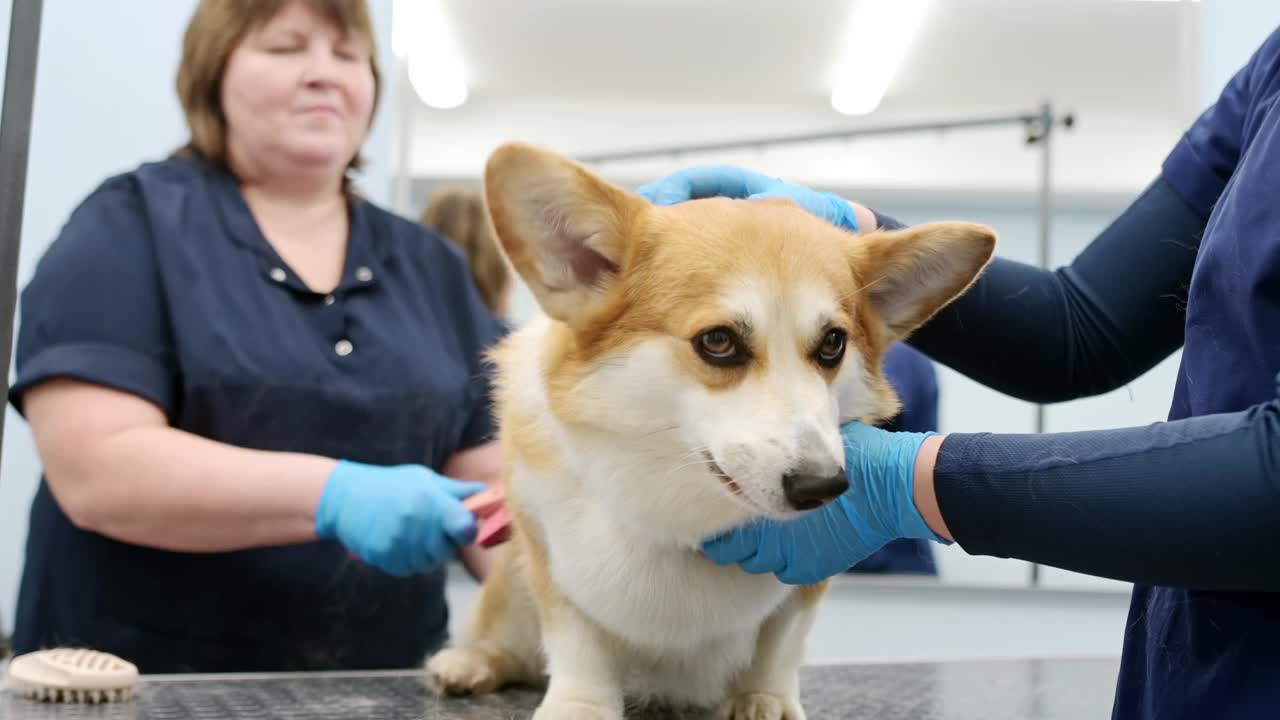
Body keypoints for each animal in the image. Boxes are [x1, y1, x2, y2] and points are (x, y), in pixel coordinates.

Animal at [424, 141, 993, 717]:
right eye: (718, 341)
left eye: (833, 343)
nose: (823, 487)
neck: (678, 500)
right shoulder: (546, 549)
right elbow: (575, 637)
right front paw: (580, 705)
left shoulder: (810, 577)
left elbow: (780, 642)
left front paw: (764, 698)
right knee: (507, 642)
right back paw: (469, 662)